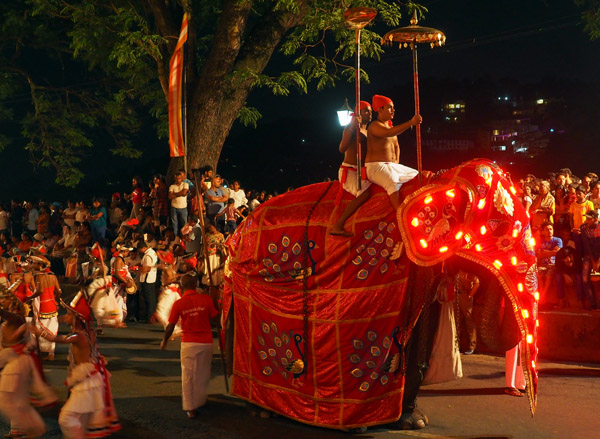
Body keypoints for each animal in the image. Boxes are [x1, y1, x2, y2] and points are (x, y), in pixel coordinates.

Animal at [221, 159, 540, 434]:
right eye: (493, 236)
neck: (436, 180)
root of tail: (235, 234)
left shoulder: (422, 268)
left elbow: (422, 334)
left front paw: (414, 420)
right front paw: (365, 425)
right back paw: (260, 409)